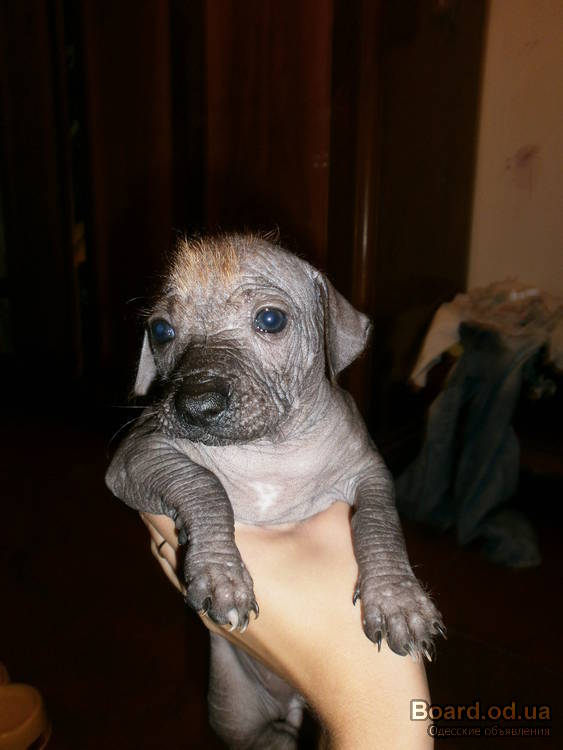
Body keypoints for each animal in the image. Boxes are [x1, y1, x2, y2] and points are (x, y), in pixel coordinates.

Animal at [106, 233, 444, 748]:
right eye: (161, 330)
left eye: (270, 320)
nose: (195, 404)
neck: (268, 449)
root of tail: (294, 702)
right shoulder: (136, 454)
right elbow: (202, 482)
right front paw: (221, 574)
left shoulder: (370, 473)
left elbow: (377, 522)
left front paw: (397, 600)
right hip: (234, 704)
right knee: (263, 737)